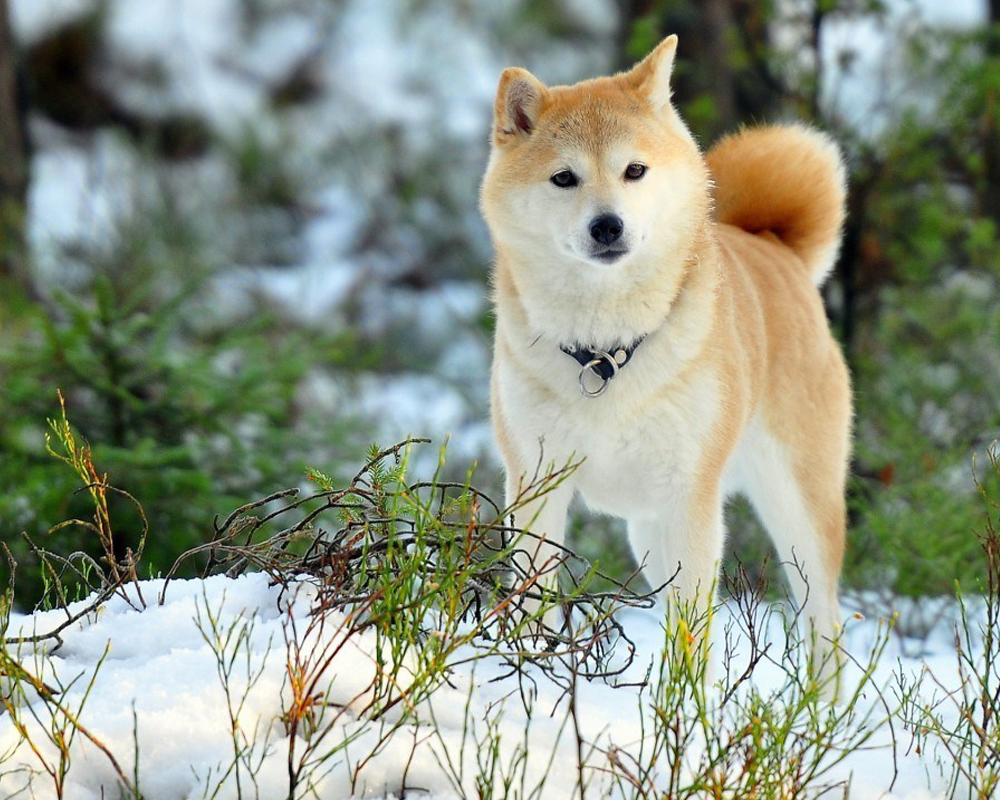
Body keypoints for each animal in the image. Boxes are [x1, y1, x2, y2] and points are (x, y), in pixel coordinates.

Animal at [482, 34, 852, 680]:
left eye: (634, 170)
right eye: (563, 177)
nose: (608, 226)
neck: (604, 353)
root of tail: (775, 246)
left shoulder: (691, 500)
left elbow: (693, 638)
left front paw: (686, 706)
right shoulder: (536, 486)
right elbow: (531, 604)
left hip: (798, 514)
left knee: (824, 627)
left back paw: (819, 707)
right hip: (650, 537)